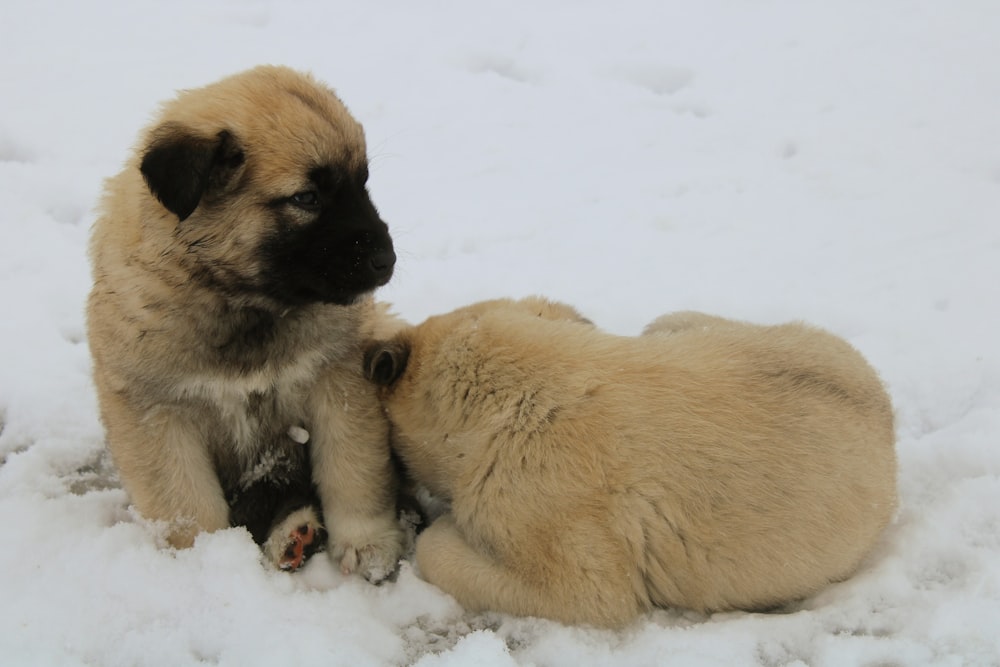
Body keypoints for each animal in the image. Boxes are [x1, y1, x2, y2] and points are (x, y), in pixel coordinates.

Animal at [87, 68, 406, 580]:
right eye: (306, 197)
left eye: (363, 184)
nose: (386, 260)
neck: (243, 303)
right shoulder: (157, 412)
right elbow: (187, 504)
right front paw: (208, 565)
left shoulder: (339, 380)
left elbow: (353, 470)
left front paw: (366, 543)